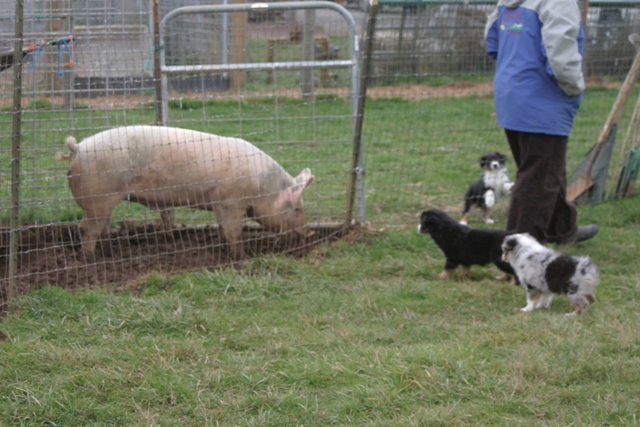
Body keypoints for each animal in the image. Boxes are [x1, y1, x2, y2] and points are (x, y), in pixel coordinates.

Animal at [58, 125, 314, 262]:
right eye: (297, 208)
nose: (309, 234)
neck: (263, 188)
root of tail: (77, 149)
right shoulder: (229, 202)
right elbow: (234, 232)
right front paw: (239, 257)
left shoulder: (219, 203)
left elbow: (223, 229)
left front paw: (222, 246)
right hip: (97, 198)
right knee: (85, 228)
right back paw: (90, 259)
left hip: (103, 201)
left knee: (101, 227)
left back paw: (106, 252)